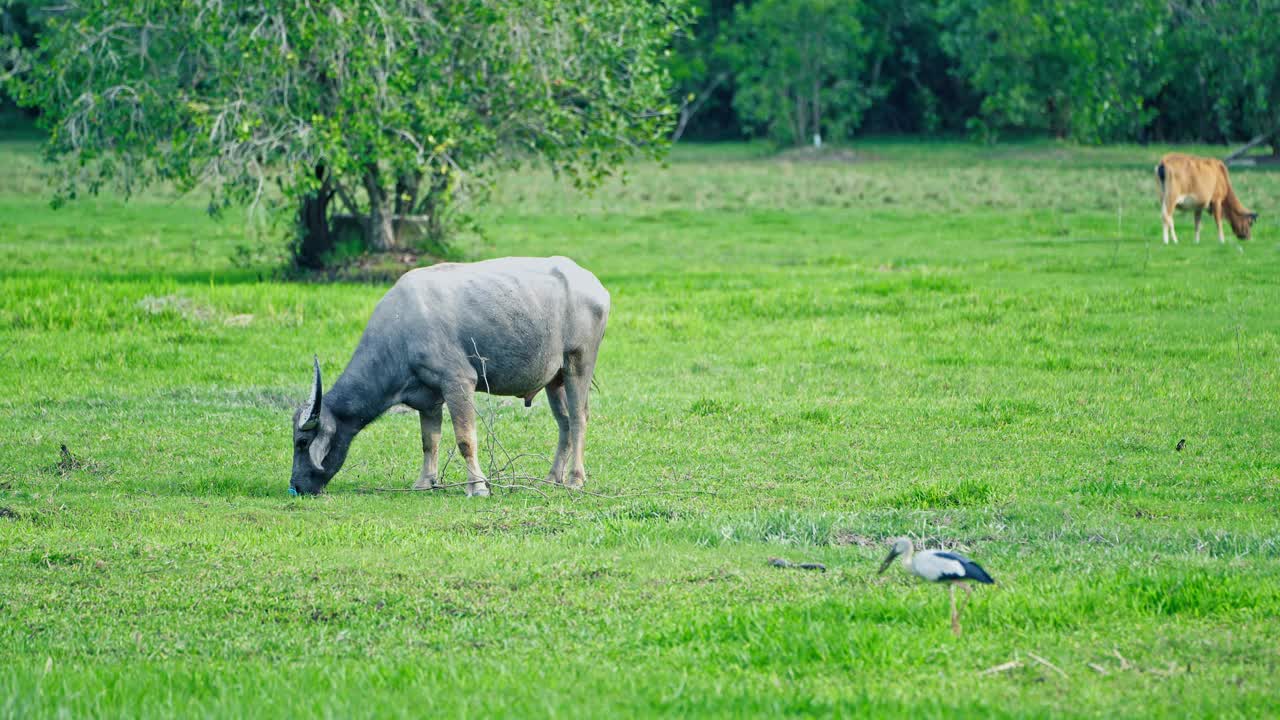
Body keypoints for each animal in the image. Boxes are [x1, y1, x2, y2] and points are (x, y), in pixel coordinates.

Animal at [290, 254, 609, 497]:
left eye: (302, 443)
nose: (296, 487)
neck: (400, 333)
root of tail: (594, 286)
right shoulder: (428, 399)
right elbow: (429, 441)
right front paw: (424, 482)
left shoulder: (458, 382)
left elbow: (465, 439)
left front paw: (477, 486)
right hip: (554, 378)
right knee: (564, 422)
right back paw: (552, 477)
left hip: (578, 363)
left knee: (579, 419)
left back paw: (575, 478)